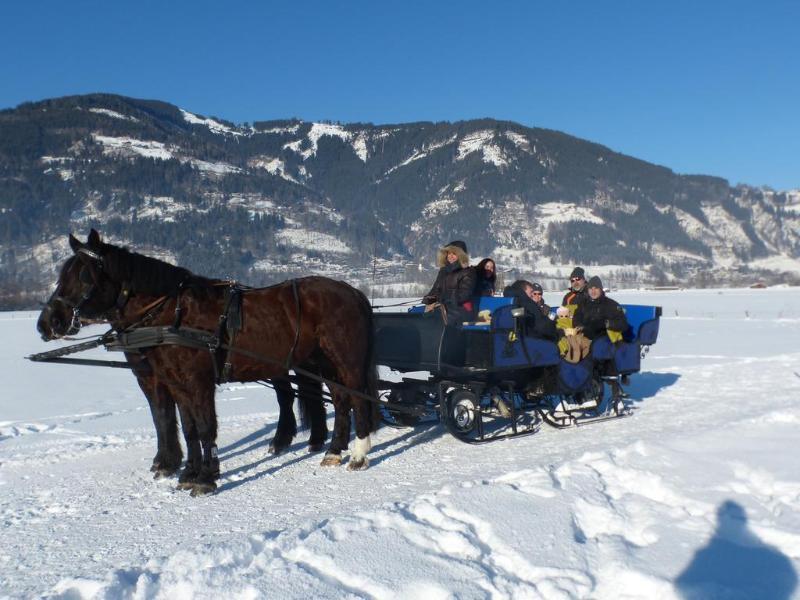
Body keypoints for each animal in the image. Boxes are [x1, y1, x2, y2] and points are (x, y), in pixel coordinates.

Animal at [39, 230, 382, 492]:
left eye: (84, 276)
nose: (48, 323)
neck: (171, 314)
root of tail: (353, 292)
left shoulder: (196, 381)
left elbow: (204, 427)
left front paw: (205, 478)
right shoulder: (172, 381)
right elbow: (184, 426)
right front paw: (186, 471)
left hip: (346, 361)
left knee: (357, 400)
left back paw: (358, 455)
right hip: (322, 363)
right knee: (340, 401)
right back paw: (333, 450)